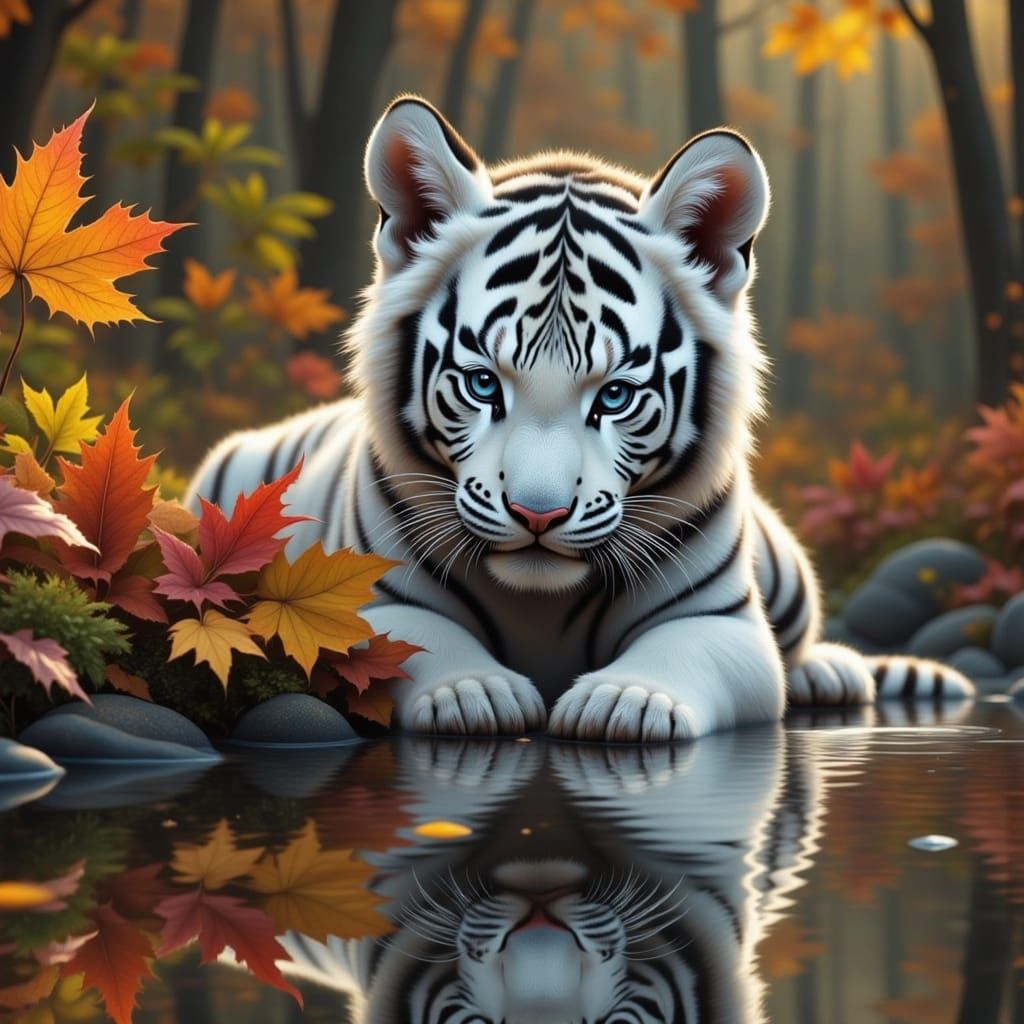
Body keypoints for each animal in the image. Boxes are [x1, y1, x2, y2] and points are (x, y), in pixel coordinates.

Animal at [186, 95, 974, 742]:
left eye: (615, 397)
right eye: (482, 384)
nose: (538, 515)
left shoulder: (716, 620)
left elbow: (684, 655)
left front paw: (627, 701)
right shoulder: (365, 601)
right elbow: (416, 643)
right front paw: (475, 693)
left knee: (803, 643)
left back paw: (828, 672)